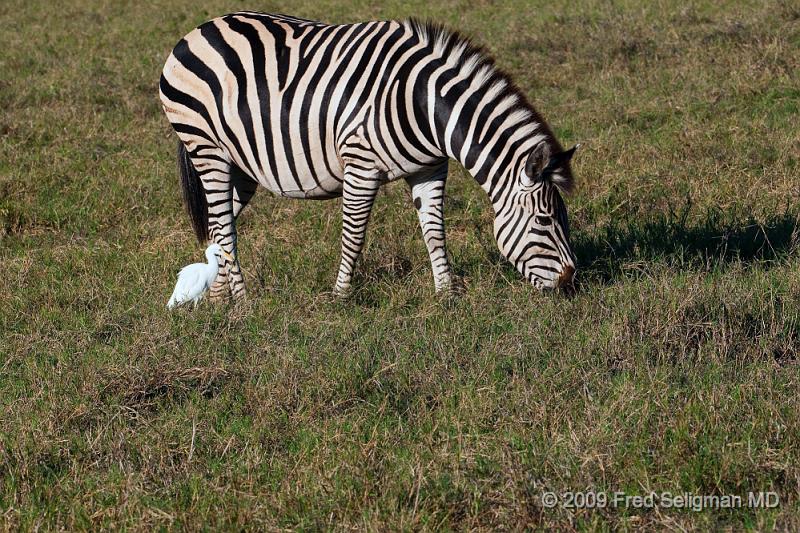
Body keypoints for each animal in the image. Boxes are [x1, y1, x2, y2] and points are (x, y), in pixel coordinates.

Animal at [159, 11, 580, 300]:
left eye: (561, 217)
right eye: (544, 221)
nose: (570, 280)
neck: (423, 105)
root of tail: (197, 30)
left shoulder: (430, 168)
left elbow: (435, 231)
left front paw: (446, 294)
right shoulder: (360, 164)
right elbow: (354, 235)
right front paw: (340, 297)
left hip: (240, 165)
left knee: (220, 224)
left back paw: (219, 299)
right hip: (207, 149)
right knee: (223, 226)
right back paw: (245, 303)